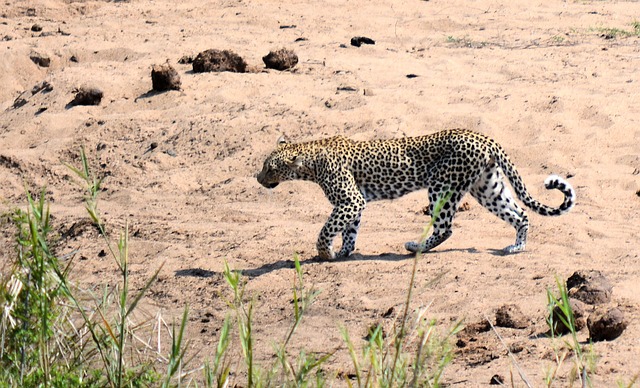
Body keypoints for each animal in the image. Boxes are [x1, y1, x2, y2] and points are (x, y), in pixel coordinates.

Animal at [258, 129, 576, 260]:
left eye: (269, 167)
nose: (257, 178)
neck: (311, 159)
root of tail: (484, 137)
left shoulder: (350, 199)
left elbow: (326, 230)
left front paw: (325, 253)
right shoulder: (353, 203)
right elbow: (349, 230)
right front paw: (345, 251)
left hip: (442, 186)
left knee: (446, 227)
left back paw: (416, 247)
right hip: (487, 187)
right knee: (519, 213)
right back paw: (516, 247)